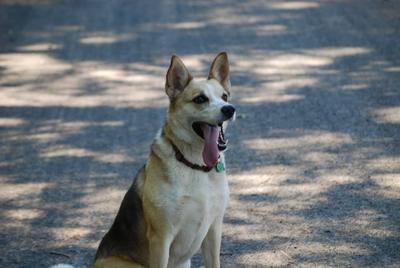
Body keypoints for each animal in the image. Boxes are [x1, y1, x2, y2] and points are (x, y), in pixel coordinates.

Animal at [93, 52, 234, 268]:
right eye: (200, 99)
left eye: (224, 96)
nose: (230, 109)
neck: (195, 165)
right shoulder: (161, 238)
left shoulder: (214, 230)